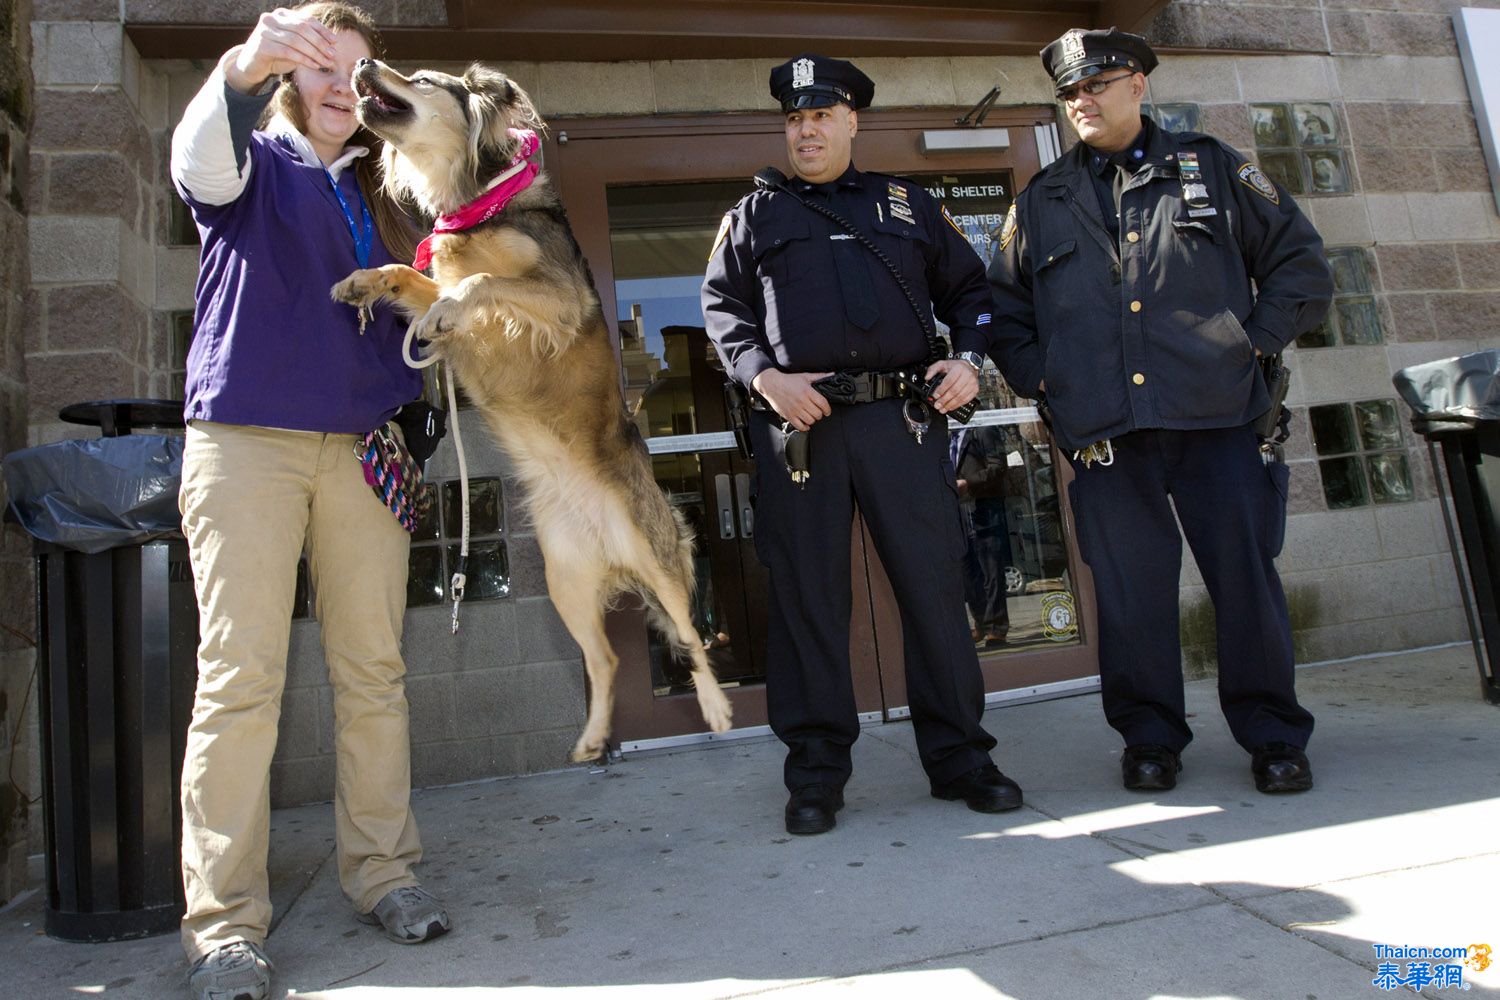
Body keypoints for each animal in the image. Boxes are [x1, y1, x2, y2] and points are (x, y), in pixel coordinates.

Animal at [334, 60, 732, 758]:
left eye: (421, 77)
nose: (361, 64)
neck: (478, 204)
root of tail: (611, 548)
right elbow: (410, 277)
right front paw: (367, 282)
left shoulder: (559, 293)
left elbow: (479, 283)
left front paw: (447, 308)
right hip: (565, 581)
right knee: (607, 659)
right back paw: (592, 739)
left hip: (659, 558)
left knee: (690, 636)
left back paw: (713, 706)